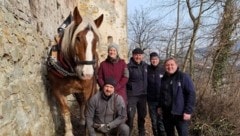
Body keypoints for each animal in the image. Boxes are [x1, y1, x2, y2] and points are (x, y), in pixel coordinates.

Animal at [46, 6, 103, 136]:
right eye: (78, 38)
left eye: (96, 40)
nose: (87, 73)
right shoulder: (57, 91)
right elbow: (65, 111)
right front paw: (68, 132)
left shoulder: (88, 89)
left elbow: (88, 110)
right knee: (80, 102)